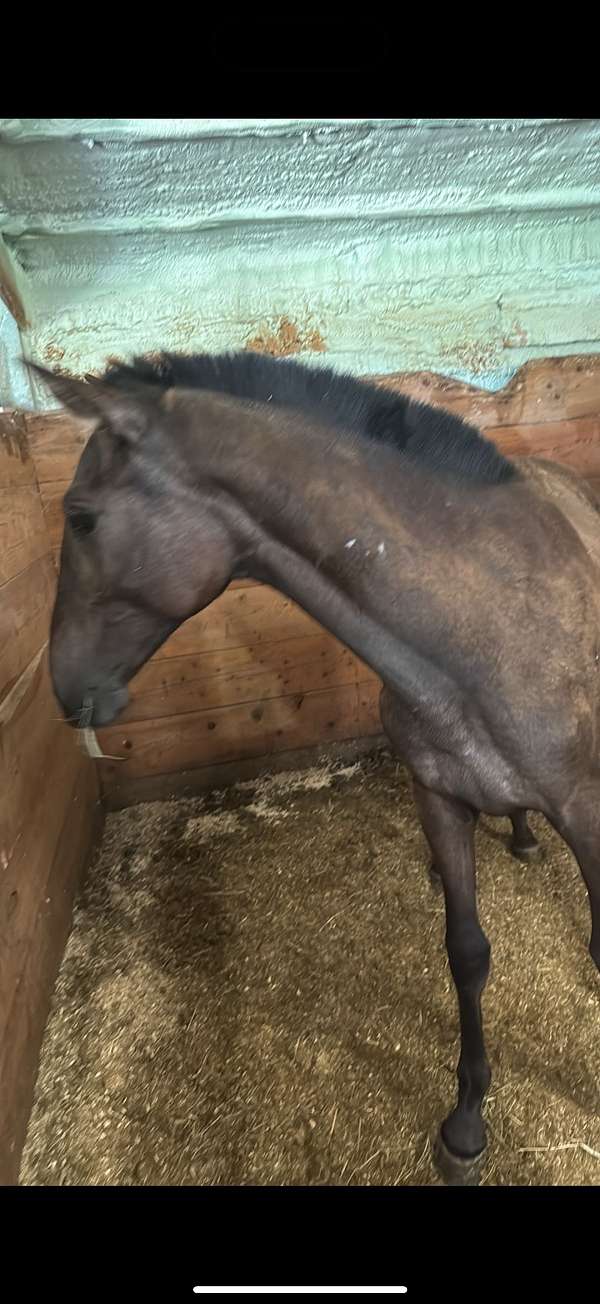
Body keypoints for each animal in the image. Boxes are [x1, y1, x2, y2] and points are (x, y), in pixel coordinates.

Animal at [30, 351, 600, 1185]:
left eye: (80, 516)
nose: (64, 691)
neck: (487, 625)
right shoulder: (438, 797)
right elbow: (467, 954)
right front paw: (466, 1124)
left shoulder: (590, 813)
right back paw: (521, 836)